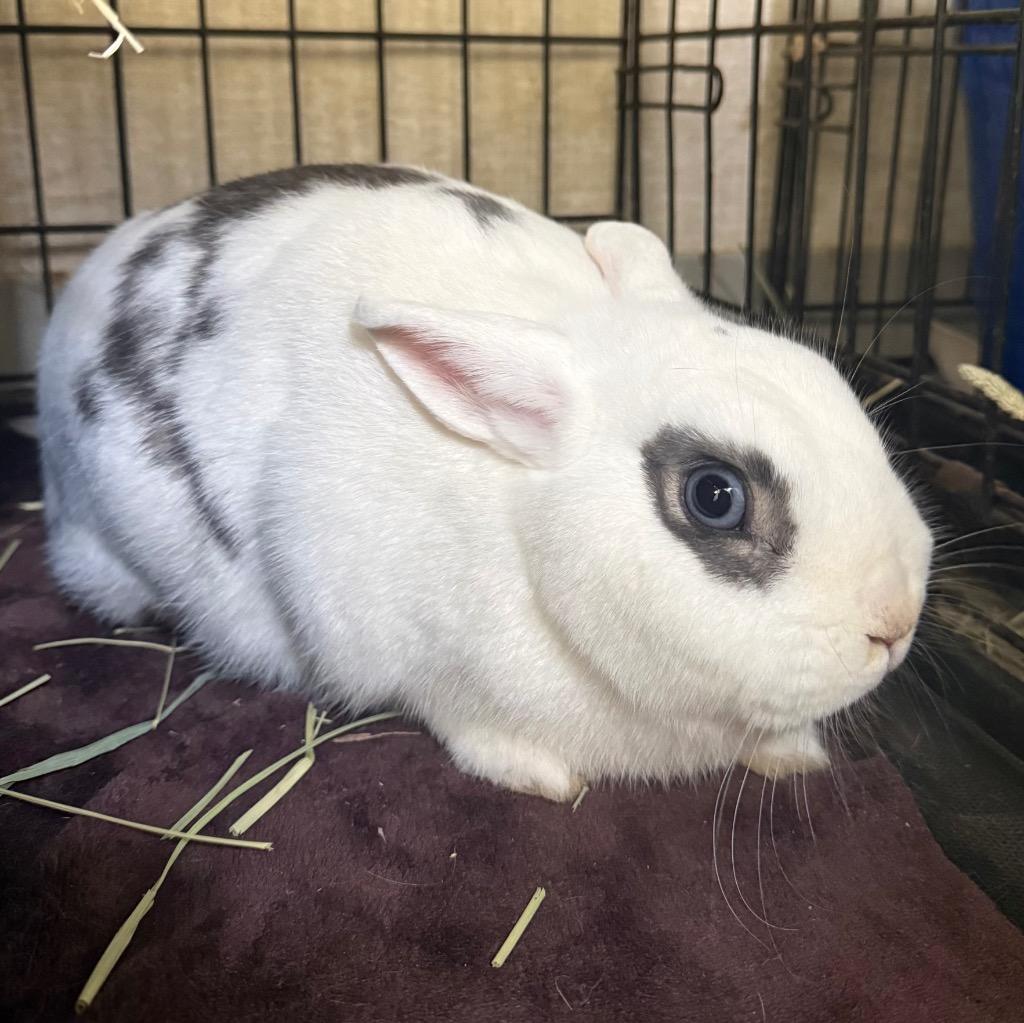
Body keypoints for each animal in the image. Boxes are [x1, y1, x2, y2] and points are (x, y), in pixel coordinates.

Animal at [36, 163, 932, 801]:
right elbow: (464, 721)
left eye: (832, 385)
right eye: (716, 496)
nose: (894, 623)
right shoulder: (400, 649)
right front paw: (541, 776)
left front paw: (795, 755)